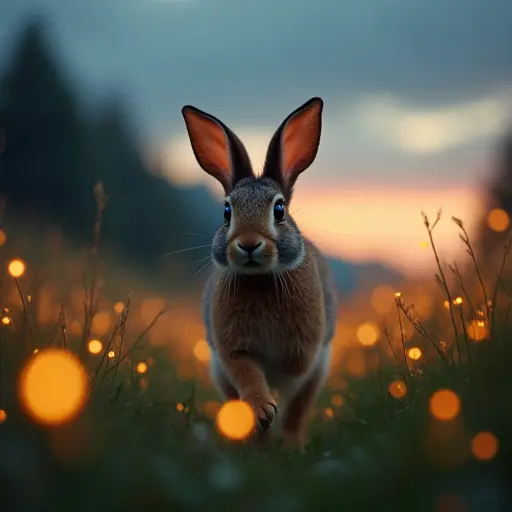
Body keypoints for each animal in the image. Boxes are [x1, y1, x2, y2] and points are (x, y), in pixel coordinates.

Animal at [182, 98, 338, 450]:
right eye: (227, 212)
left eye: (279, 210)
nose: (249, 243)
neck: (261, 278)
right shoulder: (231, 350)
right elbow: (248, 372)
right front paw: (263, 406)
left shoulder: (305, 351)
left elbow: (291, 370)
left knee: (296, 415)